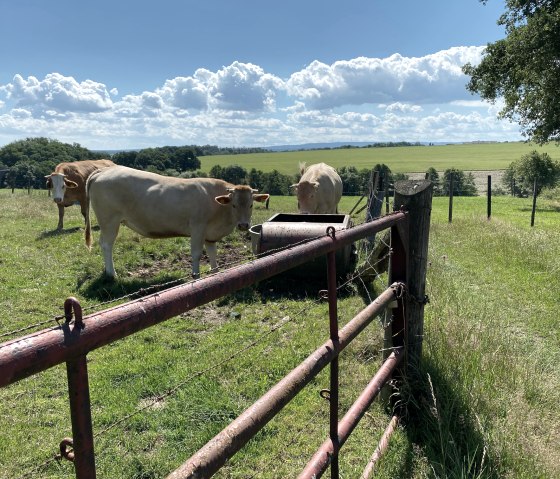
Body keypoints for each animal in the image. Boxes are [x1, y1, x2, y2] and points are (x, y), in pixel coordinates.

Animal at [85, 166, 272, 280]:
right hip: (109, 221)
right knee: (107, 245)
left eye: (251, 204)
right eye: (234, 205)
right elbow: (196, 254)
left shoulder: (210, 234)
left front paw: (215, 273)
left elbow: (213, 254)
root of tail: (103, 171)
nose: (243, 225)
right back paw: (112, 274)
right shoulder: (197, 228)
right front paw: (196, 275)